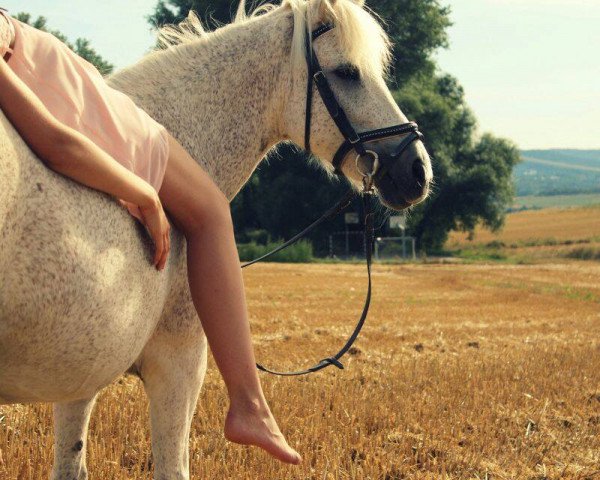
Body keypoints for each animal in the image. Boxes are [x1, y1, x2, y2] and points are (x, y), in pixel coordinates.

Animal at [0, 0, 432, 476]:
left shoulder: (83, 373)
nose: (417, 170)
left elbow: (71, 463)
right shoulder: (177, 365)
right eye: (347, 72)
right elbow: (172, 467)